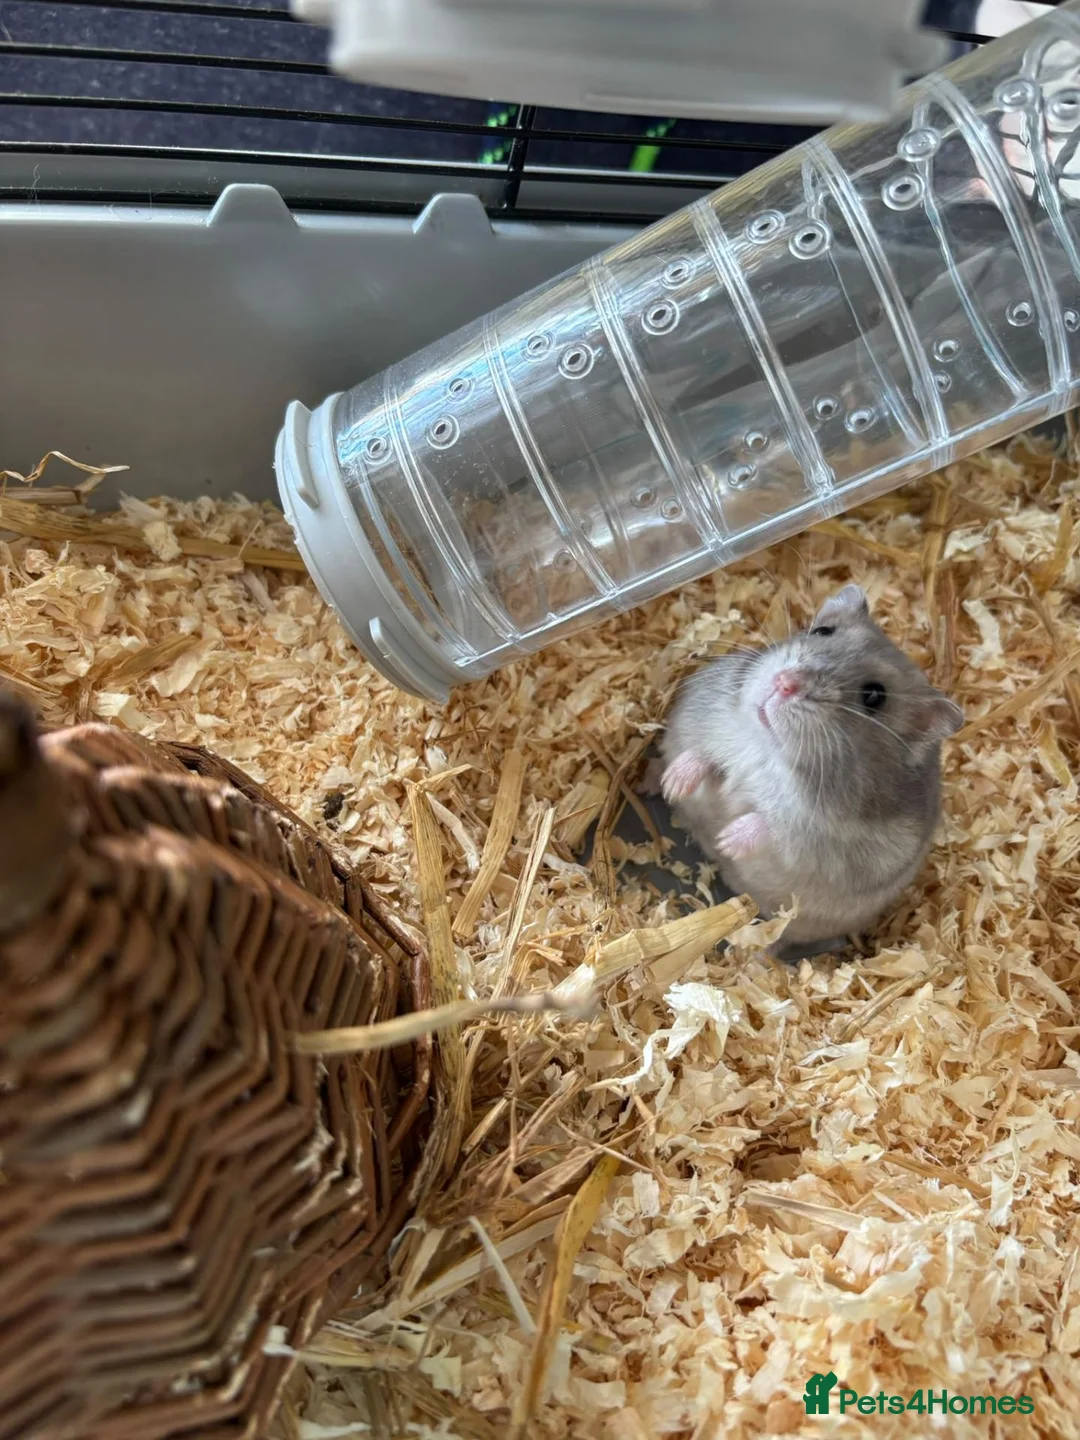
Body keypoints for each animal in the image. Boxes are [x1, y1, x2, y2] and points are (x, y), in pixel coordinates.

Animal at [660, 585, 963, 953]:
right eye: (822, 631)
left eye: (874, 695)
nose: (784, 683)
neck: (770, 749)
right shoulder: (711, 728)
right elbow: (702, 756)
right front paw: (672, 784)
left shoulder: (815, 842)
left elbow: (773, 826)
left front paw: (727, 840)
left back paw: (758, 954)